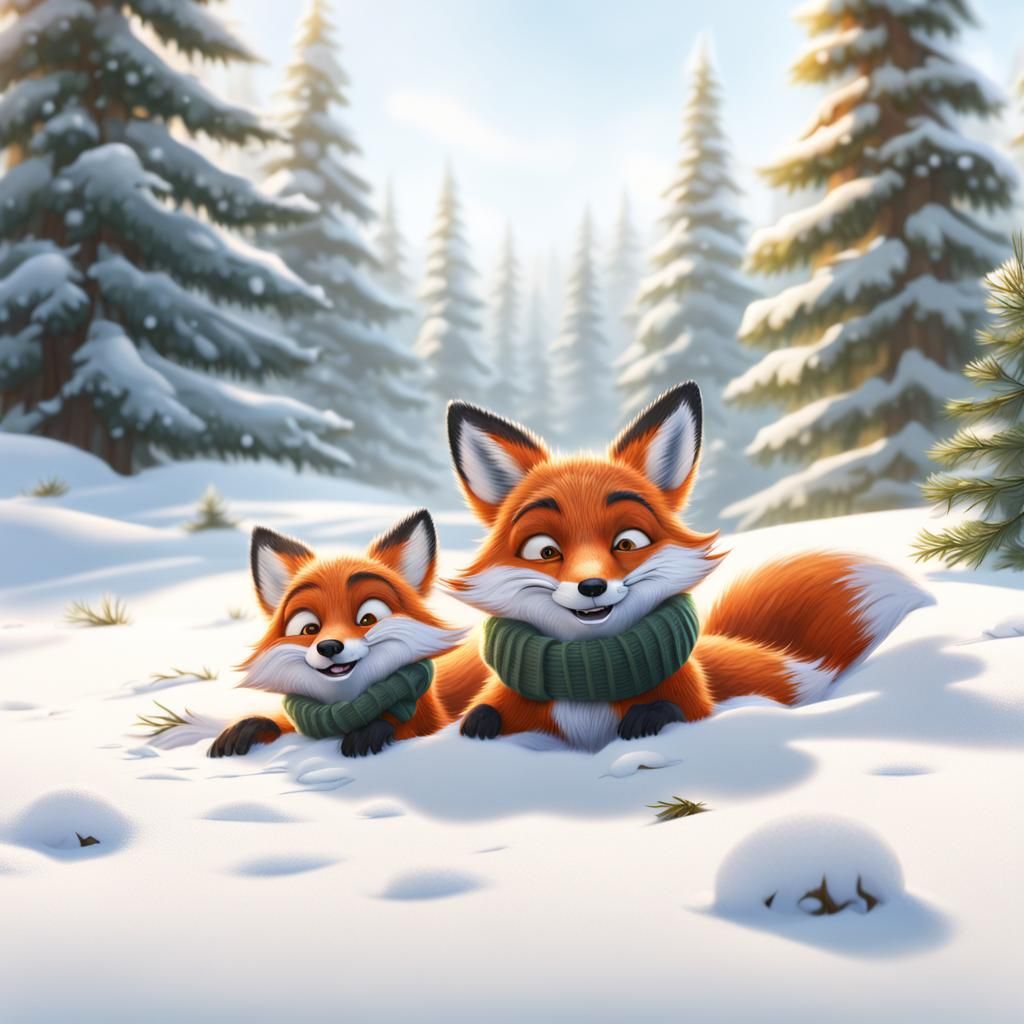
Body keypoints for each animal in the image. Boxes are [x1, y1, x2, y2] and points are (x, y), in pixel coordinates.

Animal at [209, 509, 468, 759]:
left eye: (368, 618)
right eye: (309, 629)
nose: (329, 647)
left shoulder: (429, 721)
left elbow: (399, 726)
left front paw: (369, 732)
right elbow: (275, 723)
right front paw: (246, 728)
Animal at [435, 381, 933, 752]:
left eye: (627, 542)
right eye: (545, 551)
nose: (592, 586)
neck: (588, 681)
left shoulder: (694, 704)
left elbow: (670, 712)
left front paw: (645, 720)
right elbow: (482, 716)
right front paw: (479, 725)